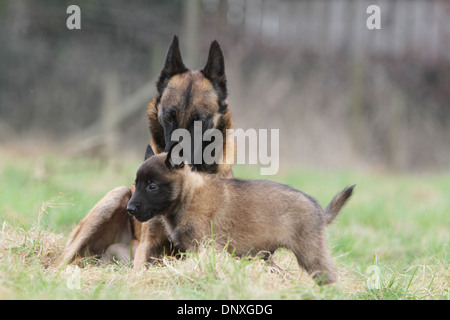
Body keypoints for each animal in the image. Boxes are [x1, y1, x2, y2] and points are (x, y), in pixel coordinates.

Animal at [126, 145, 356, 284]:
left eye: (152, 186)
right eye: (136, 184)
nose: (129, 209)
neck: (186, 194)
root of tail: (319, 211)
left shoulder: (204, 247)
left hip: (310, 253)